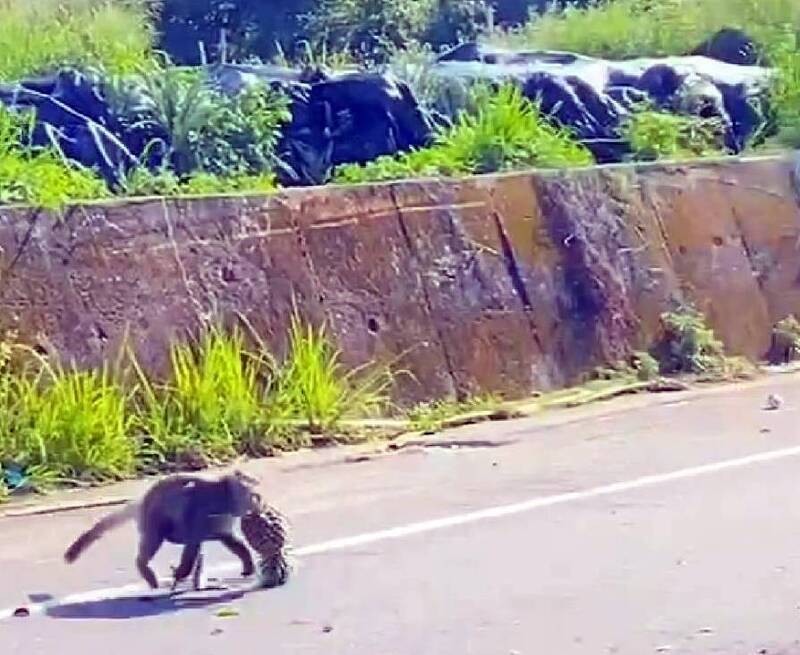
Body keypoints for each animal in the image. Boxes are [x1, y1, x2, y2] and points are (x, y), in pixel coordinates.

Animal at [65, 472, 260, 588]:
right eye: (255, 497)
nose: (260, 505)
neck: (224, 495)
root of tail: (143, 500)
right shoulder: (203, 506)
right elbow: (193, 539)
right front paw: (182, 572)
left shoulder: (223, 517)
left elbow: (228, 538)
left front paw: (247, 562)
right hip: (152, 515)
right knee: (157, 536)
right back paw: (145, 566)